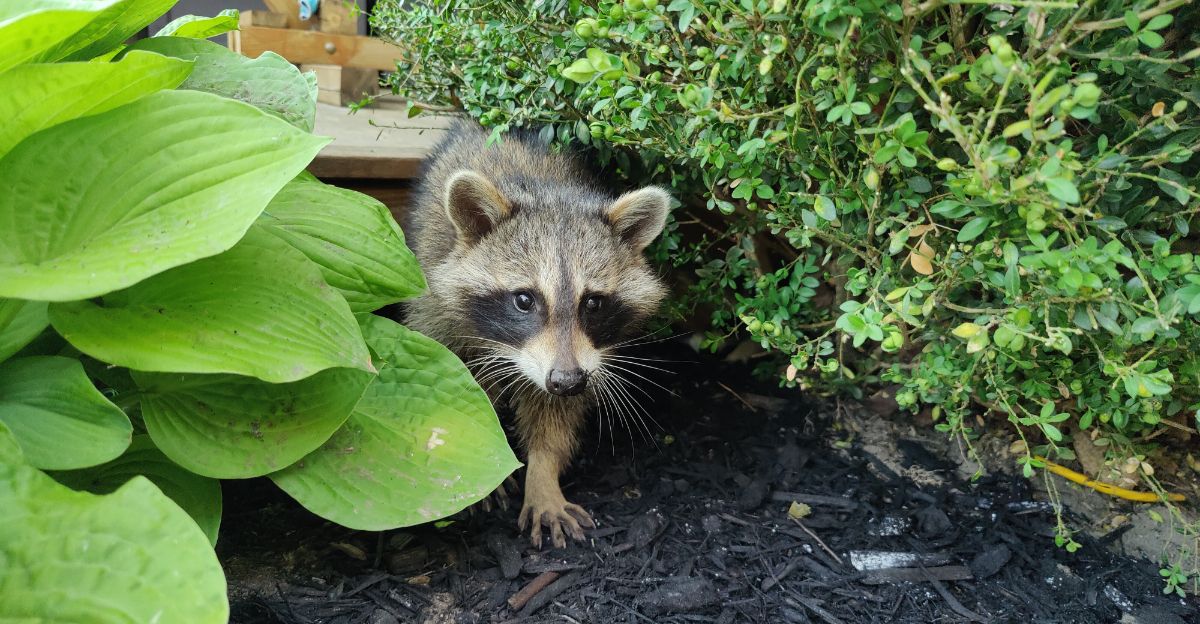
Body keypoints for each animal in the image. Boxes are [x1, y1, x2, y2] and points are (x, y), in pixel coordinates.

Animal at [404, 121, 671, 547]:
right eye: (524, 300)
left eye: (593, 303)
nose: (567, 380)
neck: (547, 193)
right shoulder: (437, 317)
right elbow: (457, 397)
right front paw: (484, 460)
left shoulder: (576, 364)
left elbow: (555, 416)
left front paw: (543, 474)